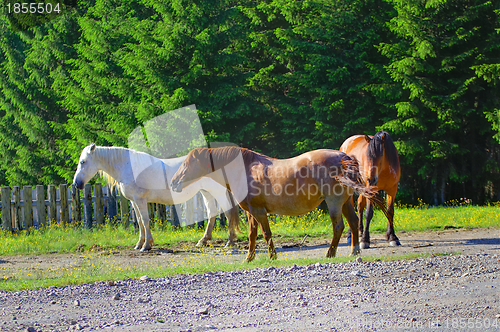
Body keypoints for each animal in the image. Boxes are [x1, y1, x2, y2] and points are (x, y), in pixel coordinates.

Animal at [72, 143, 240, 252]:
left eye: (83, 162)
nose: (76, 183)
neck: (128, 166)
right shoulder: (134, 201)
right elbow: (139, 221)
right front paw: (139, 244)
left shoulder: (140, 200)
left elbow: (145, 220)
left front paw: (147, 245)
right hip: (206, 192)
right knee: (212, 213)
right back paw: (203, 240)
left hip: (217, 191)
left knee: (228, 212)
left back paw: (230, 241)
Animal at [170, 147, 388, 262]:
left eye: (187, 164)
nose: (173, 183)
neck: (245, 170)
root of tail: (343, 157)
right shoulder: (251, 212)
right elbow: (252, 235)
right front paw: (249, 258)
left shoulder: (259, 211)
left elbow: (266, 234)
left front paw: (272, 256)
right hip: (345, 203)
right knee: (353, 221)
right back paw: (354, 251)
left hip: (334, 202)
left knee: (339, 226)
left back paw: (330, 253)